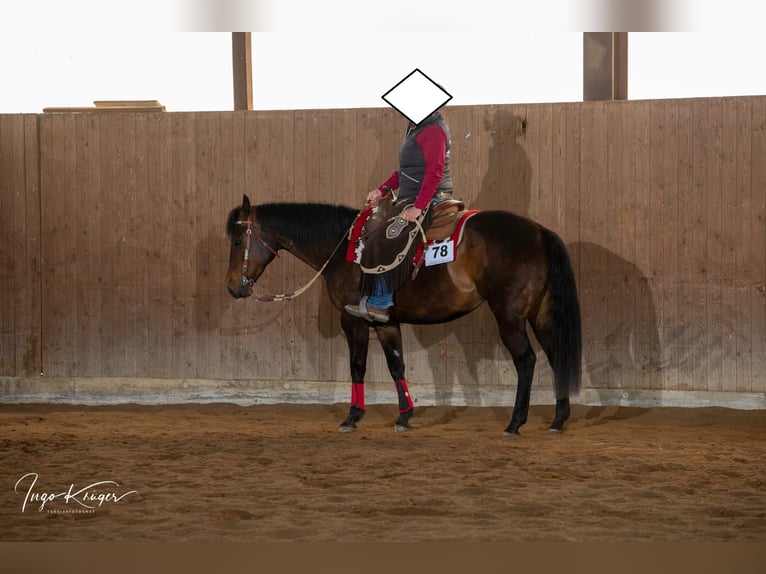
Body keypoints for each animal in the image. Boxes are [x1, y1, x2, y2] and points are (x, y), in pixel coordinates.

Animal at [226, 194, 582, 435]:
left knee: (526, 361)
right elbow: (396, 365)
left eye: (239, 239)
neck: (343, 250)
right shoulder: (386, 323)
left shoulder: (353, 319)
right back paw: (558, 419)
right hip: (540, 314)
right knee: (556, 355)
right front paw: (404, 415)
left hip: (509, 316)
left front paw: (352, 416)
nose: (232, 287)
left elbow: (357, 366)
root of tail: (539, 232)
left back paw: (515, 422)